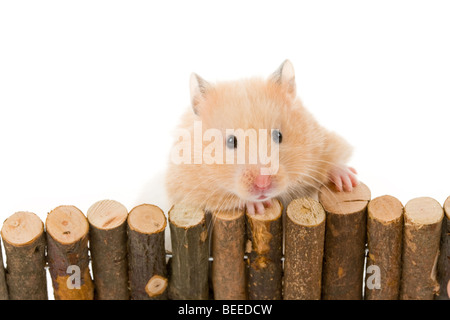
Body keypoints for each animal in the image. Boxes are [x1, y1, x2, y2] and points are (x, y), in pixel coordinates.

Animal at [165, 60, 358, 215]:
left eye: (278, 136)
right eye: (231, 141)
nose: (263, 184)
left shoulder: (320, 143)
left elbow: (329, 162)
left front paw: (347, 181)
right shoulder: (184, 189)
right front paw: (258, 207)